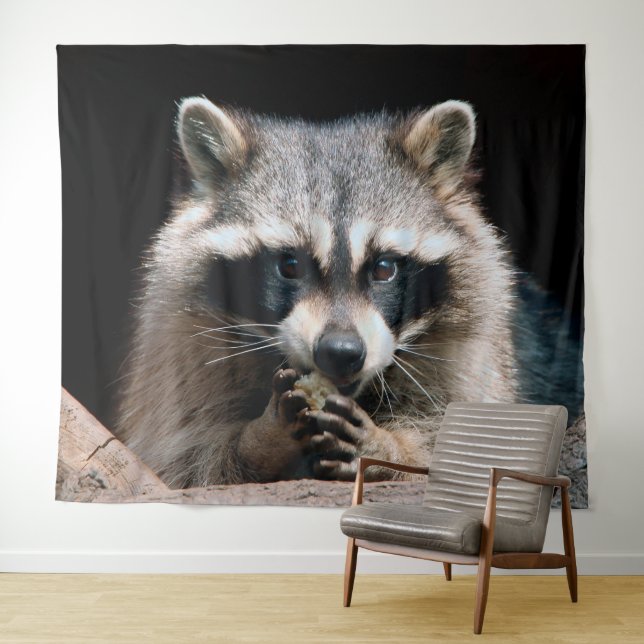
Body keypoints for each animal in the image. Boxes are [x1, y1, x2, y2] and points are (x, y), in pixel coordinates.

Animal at [115, 97, 575, 488]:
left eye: (385, 268)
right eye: (290, 265)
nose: (341, 351)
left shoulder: (473, 350)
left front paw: (390, 447)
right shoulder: (184, 342)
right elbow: (182, 459)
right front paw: (260, 440)